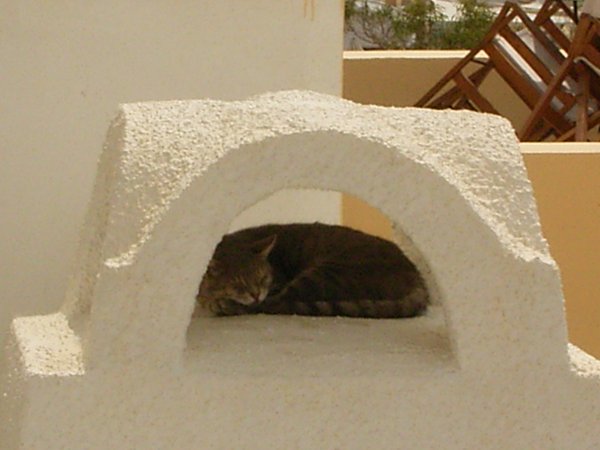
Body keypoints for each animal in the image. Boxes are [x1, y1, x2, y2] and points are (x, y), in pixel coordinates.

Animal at [196, 223, 429, 318]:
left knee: (277, 304)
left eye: (262, 279)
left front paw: (215, 302)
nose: (256, 294)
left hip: (324, 274)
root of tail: (417, 276)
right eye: (238, 284)